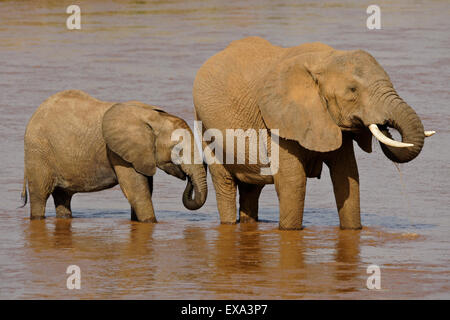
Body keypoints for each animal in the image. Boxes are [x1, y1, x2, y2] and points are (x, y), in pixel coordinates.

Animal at [21, 89, 207, 221]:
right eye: (178, 149)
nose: (187, 178)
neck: (154, 117)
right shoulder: (118, 153)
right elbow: (137, 193)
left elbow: (145, 189)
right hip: (38, 152)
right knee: (40, 196)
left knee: (63, 198)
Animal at [192, 37, 432, 230]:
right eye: (353, 91)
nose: (383, 124)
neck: (325, 59)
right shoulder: (277, 121)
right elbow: (293, 181)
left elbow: (347, 177)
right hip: (204, 126)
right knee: (224, 183)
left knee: (252, 189)